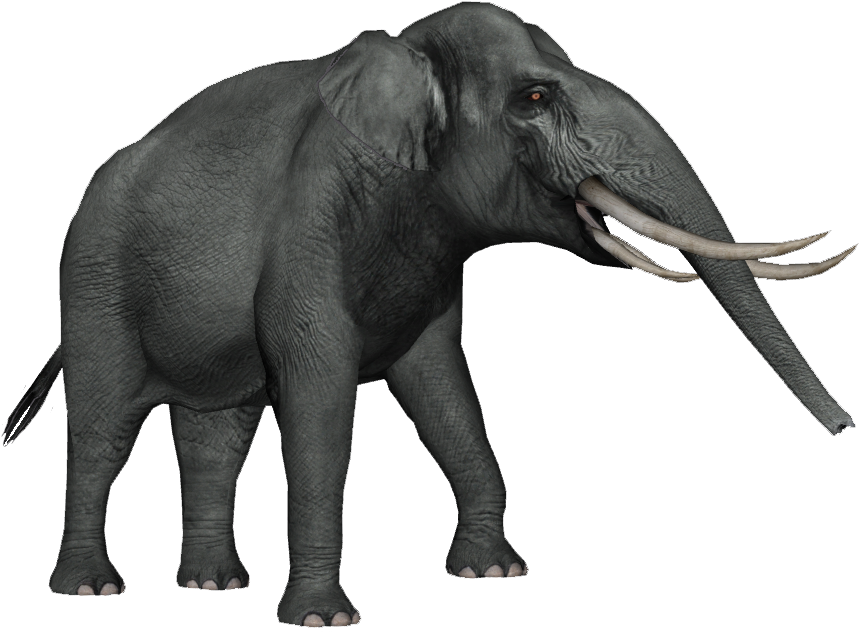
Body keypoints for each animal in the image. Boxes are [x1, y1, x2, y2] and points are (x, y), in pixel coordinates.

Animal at [2, 2, 855, 627]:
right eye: (535, 98)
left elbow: (442, 386)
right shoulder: (309, 218)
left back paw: (213, 586)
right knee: (105, 430)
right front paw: (325, 620)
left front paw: (494, 571)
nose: (846, 429)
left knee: (218, 432)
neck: (403, 63)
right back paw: (92, 590)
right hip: (93, 281)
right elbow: (320, 391)